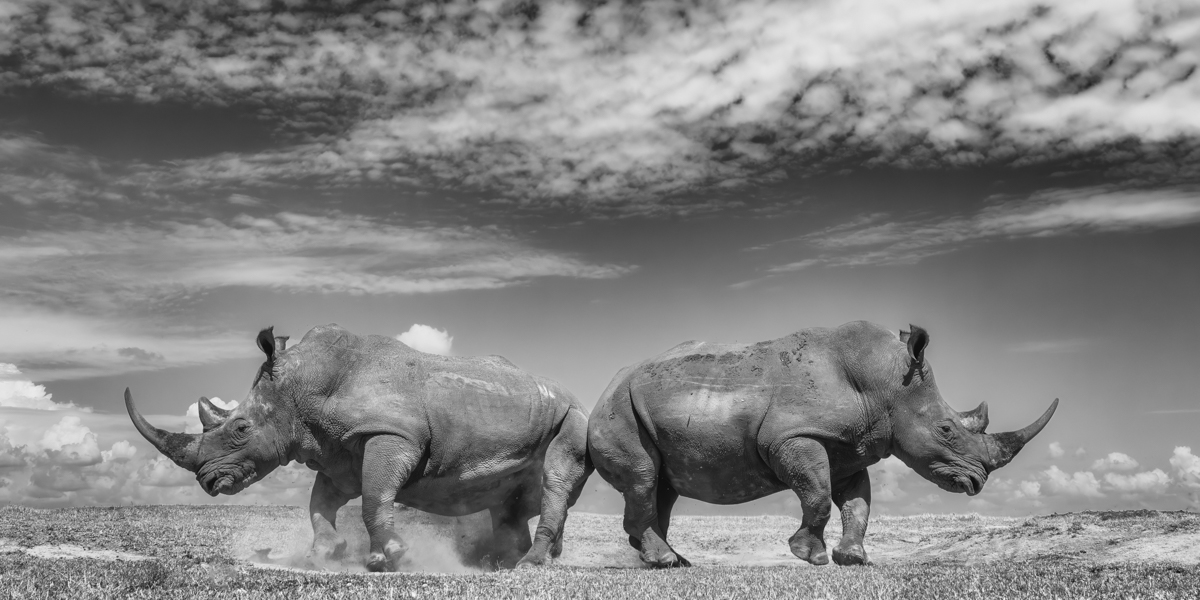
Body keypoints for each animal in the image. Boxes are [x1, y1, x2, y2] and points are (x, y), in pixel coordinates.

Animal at [126, 325, 591, 571]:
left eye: (241, 428)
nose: (207, 481)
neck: (301, 389)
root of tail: (575, 394)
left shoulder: (392, 434)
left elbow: (372, 497)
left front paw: (388, 557)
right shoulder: (337, 454)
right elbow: (320, 503)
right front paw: (323, 556)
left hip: (574, 417)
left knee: (553, 478)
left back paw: (528, 564)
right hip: (532, 410)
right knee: (510, 499)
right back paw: (507, 562)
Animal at [588, 321, 1058, 567]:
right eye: (946, 430)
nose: (976, 483)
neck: (887, 386)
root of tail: (607, 385)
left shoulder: (850, 448)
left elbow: (858, 503)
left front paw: (853, 560)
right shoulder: (794, 435)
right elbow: (816, 494)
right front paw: (809, 556)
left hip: (645, 404)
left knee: (661, 488)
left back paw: (667, 561)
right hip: (618, 411)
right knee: (644, 477)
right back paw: (665, 561)